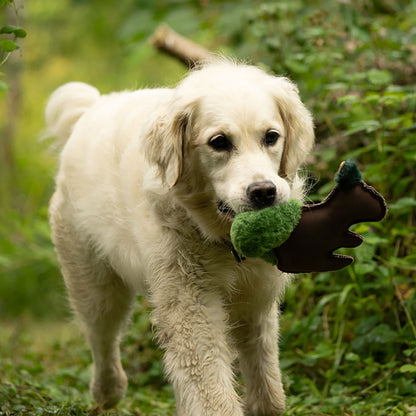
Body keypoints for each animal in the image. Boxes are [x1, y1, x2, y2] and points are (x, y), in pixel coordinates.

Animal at [47, 59, 314, 416]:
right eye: (219, 142)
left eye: (271, 137)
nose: (263, 192)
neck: (222, 237)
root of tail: (93, 107)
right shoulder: (191, 306)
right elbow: (212, 391)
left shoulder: (256, 299)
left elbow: (267, 382)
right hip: (95, 285)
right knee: (102, 339)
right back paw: (107, 391)